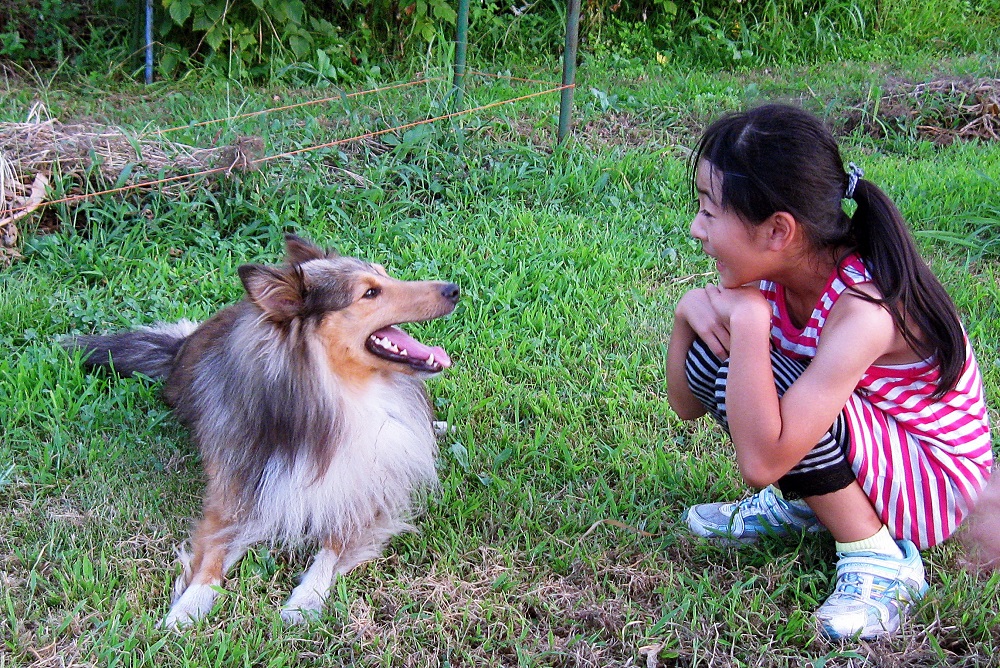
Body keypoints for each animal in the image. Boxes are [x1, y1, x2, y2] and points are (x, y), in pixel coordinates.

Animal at [64, 234, 462, 628]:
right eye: (370, 293)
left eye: (384, 274)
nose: (454, 288)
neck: (338, 395)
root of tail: (179, 347)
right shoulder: (233, 492)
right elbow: (213, 551)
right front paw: (190, 604)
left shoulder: (362, 487)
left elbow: (333, 547)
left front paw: (304, 600)